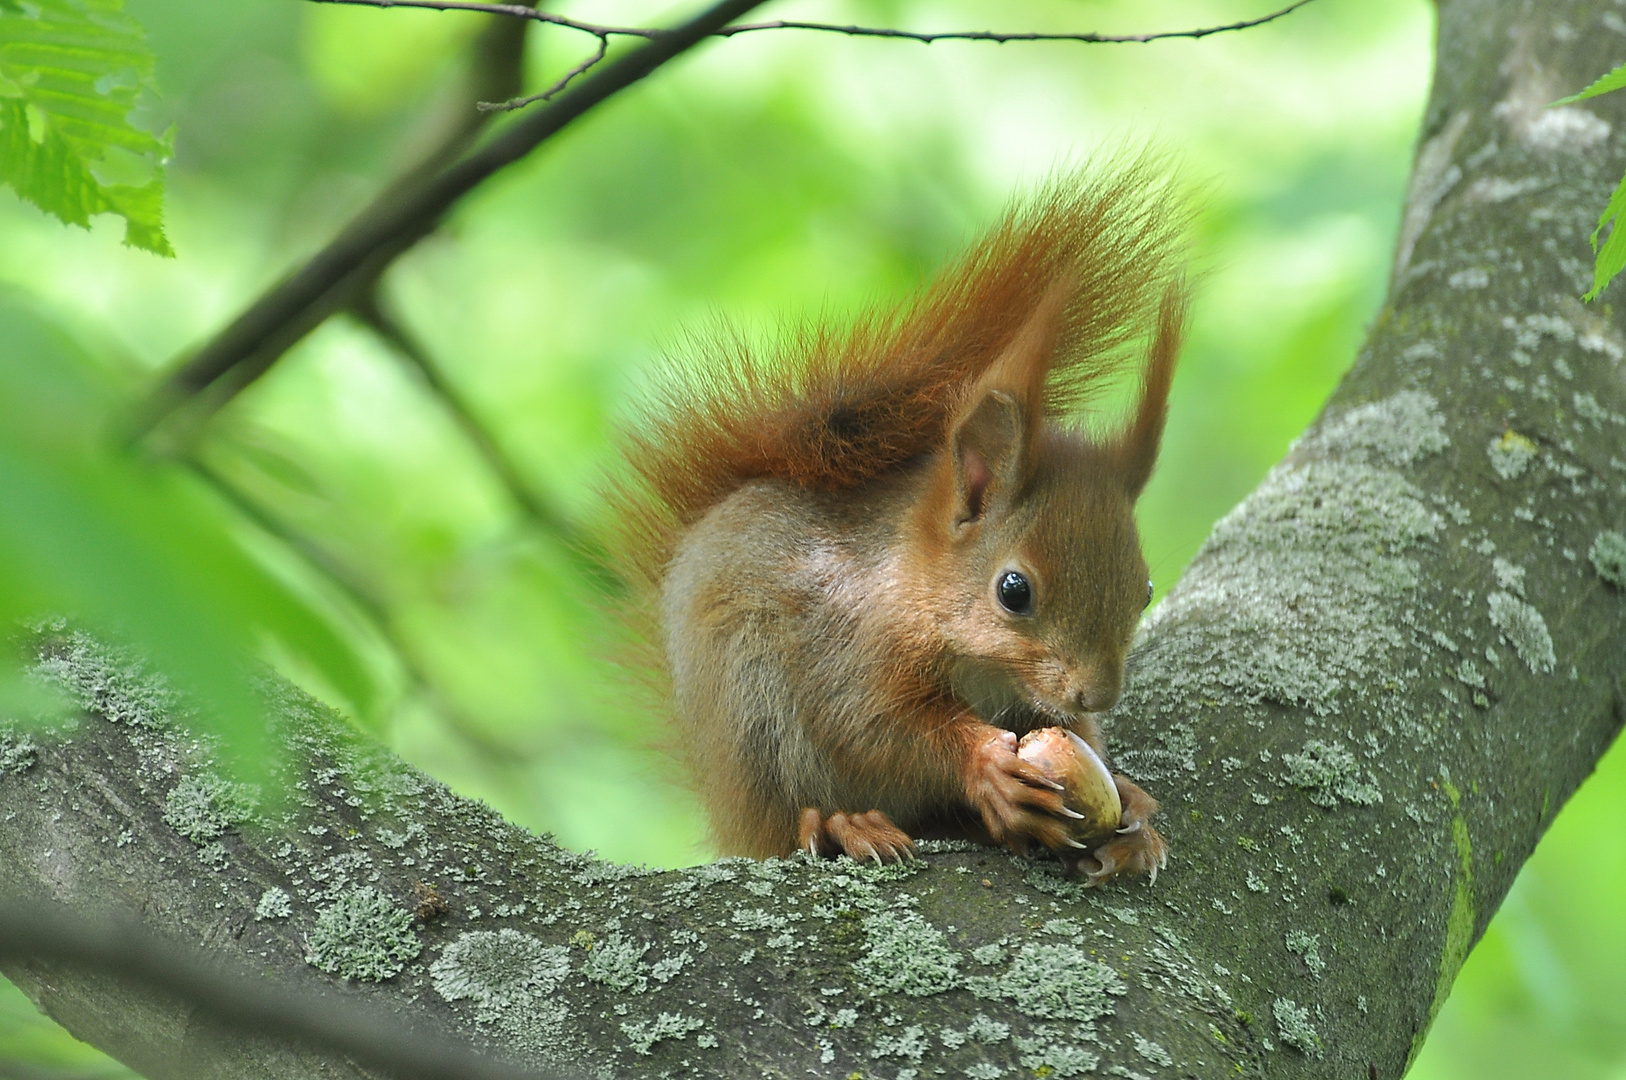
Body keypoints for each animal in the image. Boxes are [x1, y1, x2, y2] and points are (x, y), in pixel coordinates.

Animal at [608, 160, 1183, 884]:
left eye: (1146, 590)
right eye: (1013, 590)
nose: (1098, 695)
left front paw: (1129, 802)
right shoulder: (847, 641)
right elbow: (875, 726)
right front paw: (987, 764)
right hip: (752, 719)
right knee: (787, 820)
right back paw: (843, 824)